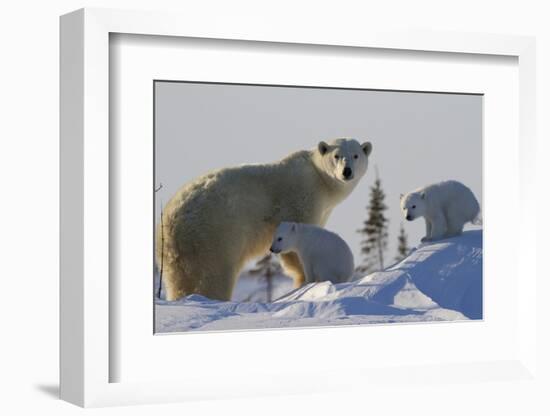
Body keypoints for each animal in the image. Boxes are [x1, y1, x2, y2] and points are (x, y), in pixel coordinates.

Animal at [160, 138, 376, 300]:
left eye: (356, 155)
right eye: (336, 156)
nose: (347, 171)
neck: (319, 178)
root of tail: (172, 222)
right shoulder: (301, 198)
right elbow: (295, 245)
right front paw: (303, 281)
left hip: (176, 256)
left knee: (179, 281)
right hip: (213, 235)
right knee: (214, 276)